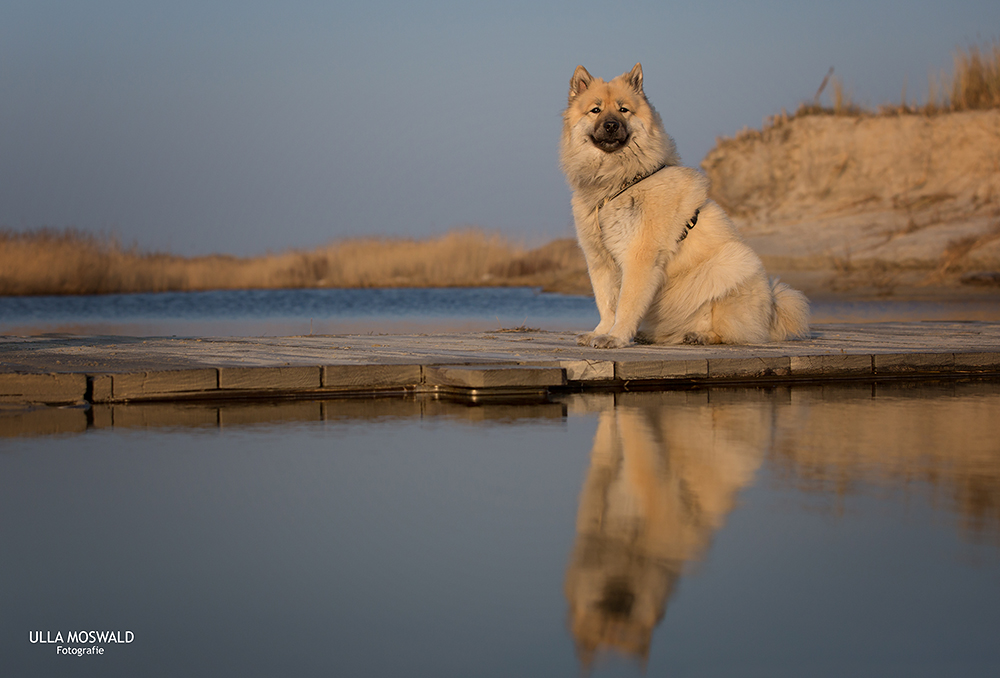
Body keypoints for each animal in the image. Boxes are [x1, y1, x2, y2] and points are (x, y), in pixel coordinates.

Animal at [560, 62, 808, 350]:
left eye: (623, 110)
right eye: (596, 110)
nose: (611, 126)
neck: (616, 183)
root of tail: (772, 312)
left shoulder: (639, 256)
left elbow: (626, 303)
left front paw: (616, 336)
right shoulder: (599, 258)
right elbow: (606, 303)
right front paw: (600, 331)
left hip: (733, 261)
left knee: (727, 328)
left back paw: (700, 335)